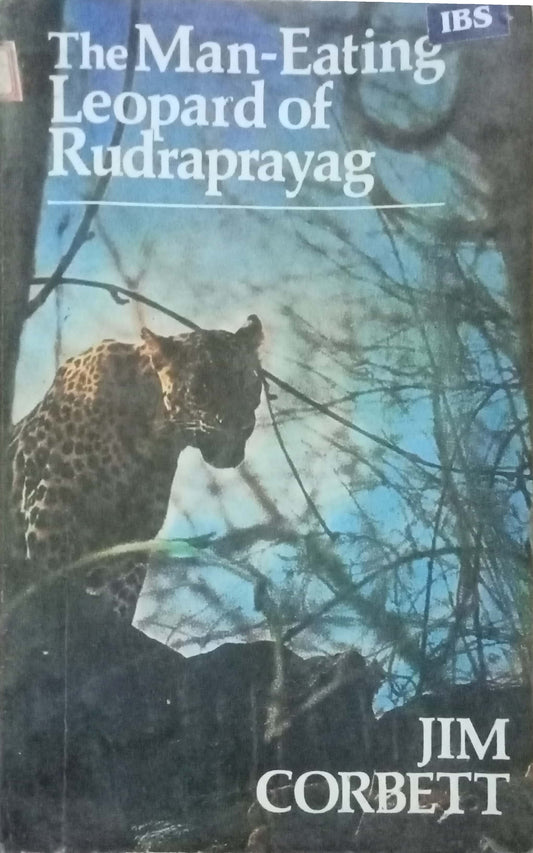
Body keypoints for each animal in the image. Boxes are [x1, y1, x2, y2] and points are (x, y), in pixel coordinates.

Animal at [8, 315, 263, 619]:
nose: (240, 424)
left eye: (248, 383)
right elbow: (57, 580)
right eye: (201, 389)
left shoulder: (135, 541)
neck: (153, 436)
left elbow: (122, 599)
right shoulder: (50, 515)